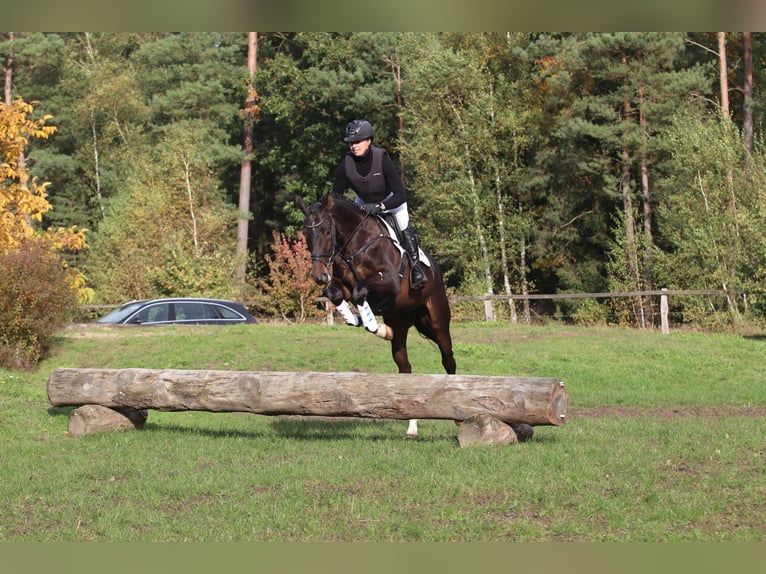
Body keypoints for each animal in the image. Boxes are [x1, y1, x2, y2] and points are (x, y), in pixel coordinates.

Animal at [296, 195, 456, 440]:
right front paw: (362, 321)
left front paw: (371, 323)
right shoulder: (343, 286)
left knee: (448, 359)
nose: (319, 276)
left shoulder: (388, 281)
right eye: (305, 233)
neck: (355, 246)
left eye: (326, 231)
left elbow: (360, 291)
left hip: (437, 320)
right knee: (405, 367)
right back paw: (411, 427)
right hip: (400, 321)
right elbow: (337, 294)